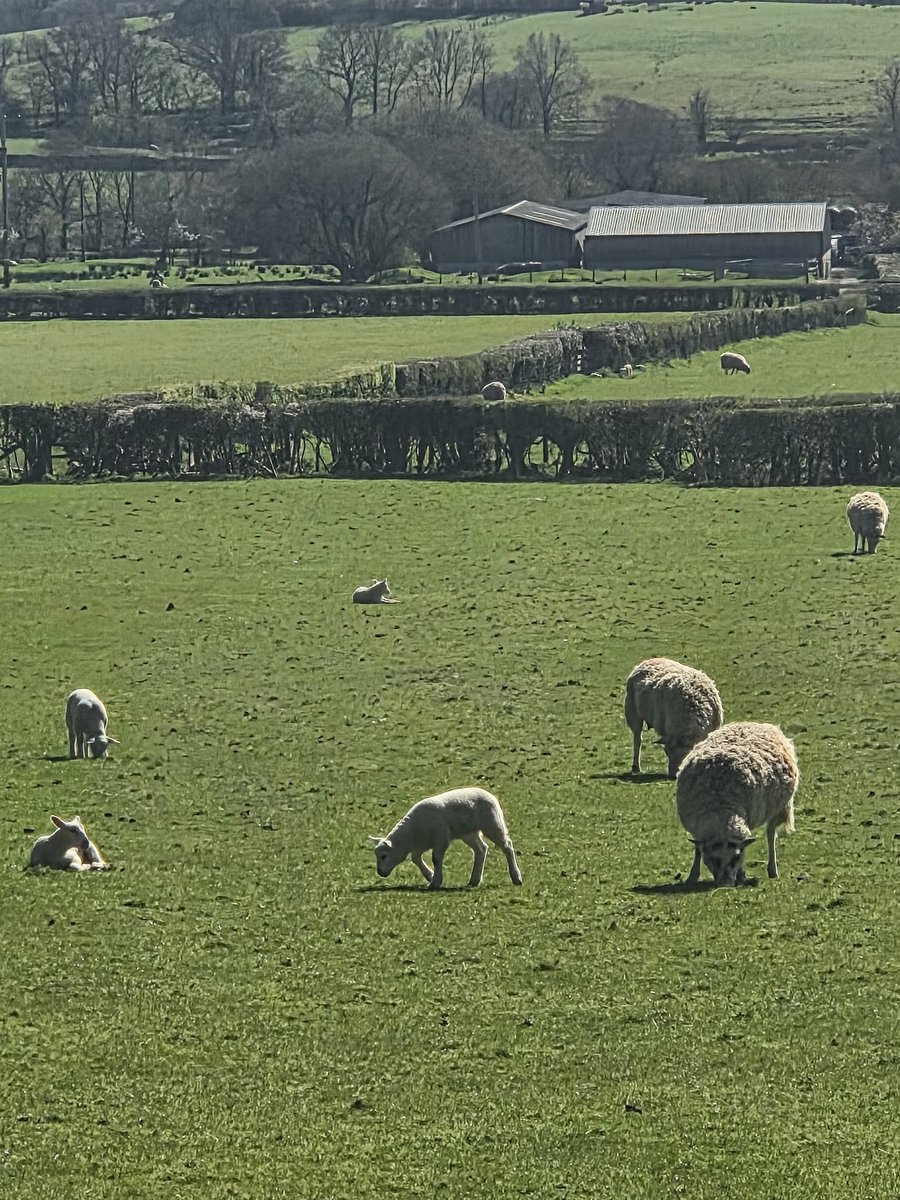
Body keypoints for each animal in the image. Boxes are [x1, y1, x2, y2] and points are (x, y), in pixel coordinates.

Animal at [368, 786, 522, 890]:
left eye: (384, 856)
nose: (380, 873)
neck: (411, 834)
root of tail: (491, 795)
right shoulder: (421, 844)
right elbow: (416, 859)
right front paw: (430, 875)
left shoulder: (440, 839)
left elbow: (436, 859)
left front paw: (435, 882)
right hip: (468, 833)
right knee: (481, 849)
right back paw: (474, 880)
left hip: (493, 824)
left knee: (507, 847)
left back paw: (516, 877)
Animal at [676, 722, 798, 886]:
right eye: (713, 859)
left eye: (736, 858)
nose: (725, 884)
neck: (721, 808)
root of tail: (758, 723)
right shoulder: (696, 828)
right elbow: (697, 849)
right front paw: (692, 875)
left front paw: (741, 875)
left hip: (779, 807)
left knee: (771, 833)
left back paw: (772, 869)